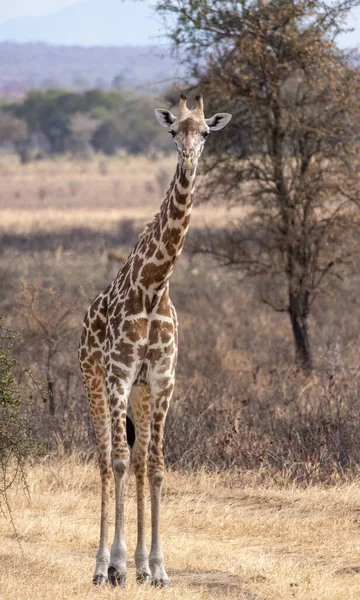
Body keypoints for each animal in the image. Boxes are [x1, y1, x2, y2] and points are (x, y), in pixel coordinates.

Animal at [77, 94, 232, 584]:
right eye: (172, 132)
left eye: (205, 132)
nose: (187, 161)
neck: (154, 284)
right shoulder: (119, 376)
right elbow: (120, 462)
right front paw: (117, 564)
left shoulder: (162, 380)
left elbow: (157, 466)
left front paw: (159, 568)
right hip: (93, 381)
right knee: (105, 460)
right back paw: (101, 566)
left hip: (141, 394)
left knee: (142, 461)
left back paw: (142, 565)